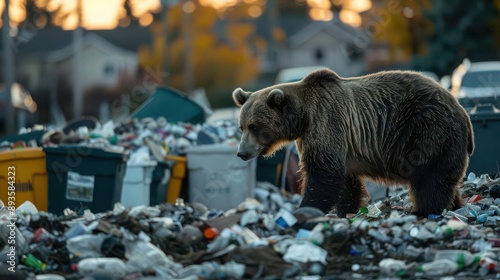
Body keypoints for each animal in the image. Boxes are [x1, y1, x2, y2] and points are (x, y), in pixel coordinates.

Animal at [232, 68, 474, 217]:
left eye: (254, 126)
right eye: (241, 126)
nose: (241, 153)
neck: (302, 117)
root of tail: (463, 111)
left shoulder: (326, 122)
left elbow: (323, 174)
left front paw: (306, 208)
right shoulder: (340, 144)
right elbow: (346, 182)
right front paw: (346, 210)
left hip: (426, 128)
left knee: (430, 177)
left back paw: (424, 209)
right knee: (444, 178)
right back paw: (455, 204)